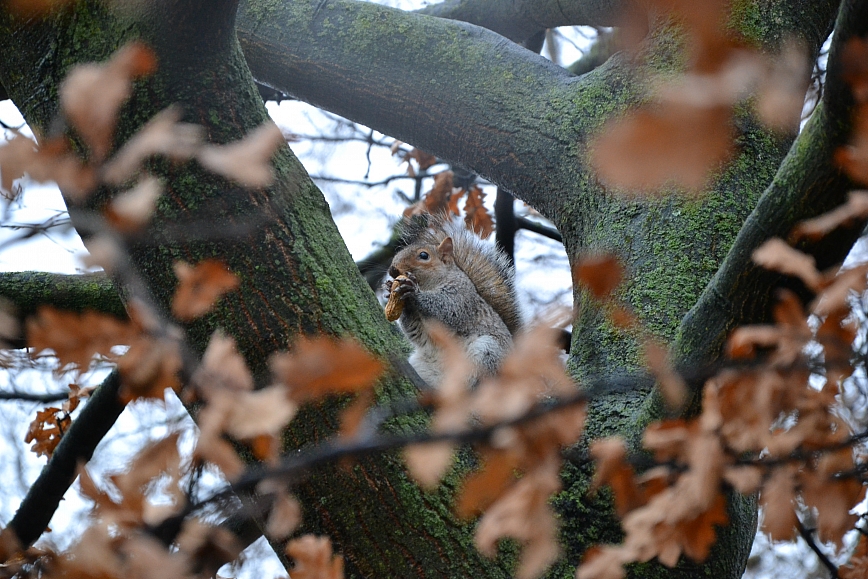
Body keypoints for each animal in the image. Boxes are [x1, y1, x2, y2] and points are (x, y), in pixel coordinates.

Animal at [382, 220, 520, 388]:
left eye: (424, 255)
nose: (392, 270)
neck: (430, 285)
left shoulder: (462, 295)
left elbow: (448, 310)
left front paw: (413, 292)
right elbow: (413, 330)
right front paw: (391, 290)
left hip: (488, 351)